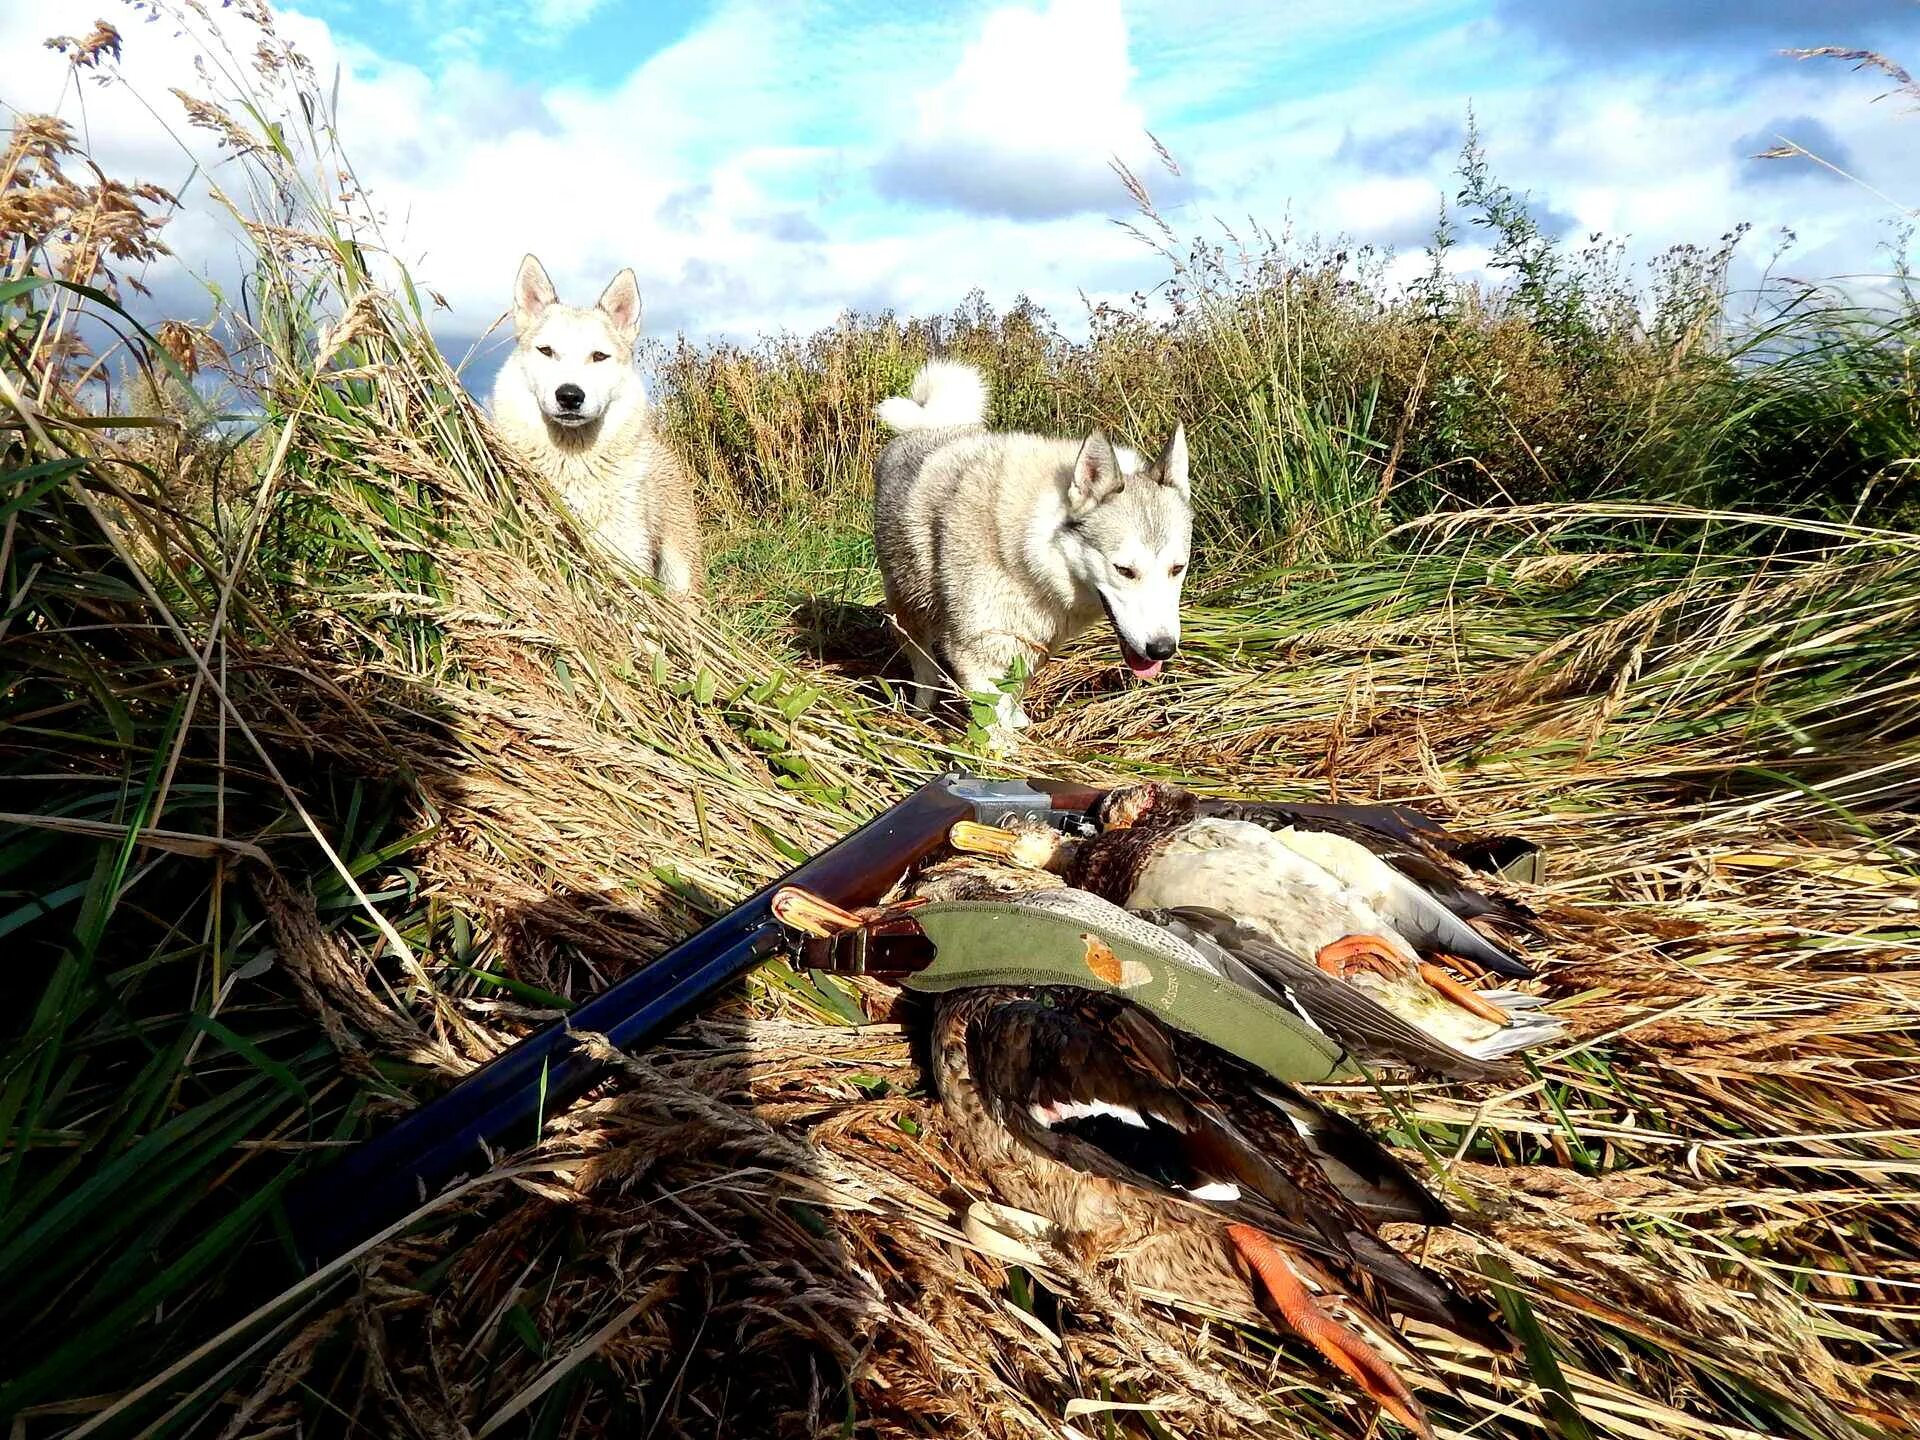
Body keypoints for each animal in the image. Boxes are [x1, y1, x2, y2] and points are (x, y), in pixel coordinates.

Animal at [491, 257, 702, 595]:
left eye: (599, 356)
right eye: (546, 351)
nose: (569, 395)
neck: (573, 461)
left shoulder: (628, 560)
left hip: (679, 574)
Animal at [879, 360, 1190, 744]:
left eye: (1177, 568)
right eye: (1124, 570)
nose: (1163, 649)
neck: (1031, 546)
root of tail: (934, 423)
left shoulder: (1032, 644)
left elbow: (1013, 695)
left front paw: (1021, 726)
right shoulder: (973, 651)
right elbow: (992, 728)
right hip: (908, 606)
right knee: (922, 665)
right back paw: (919, 710)